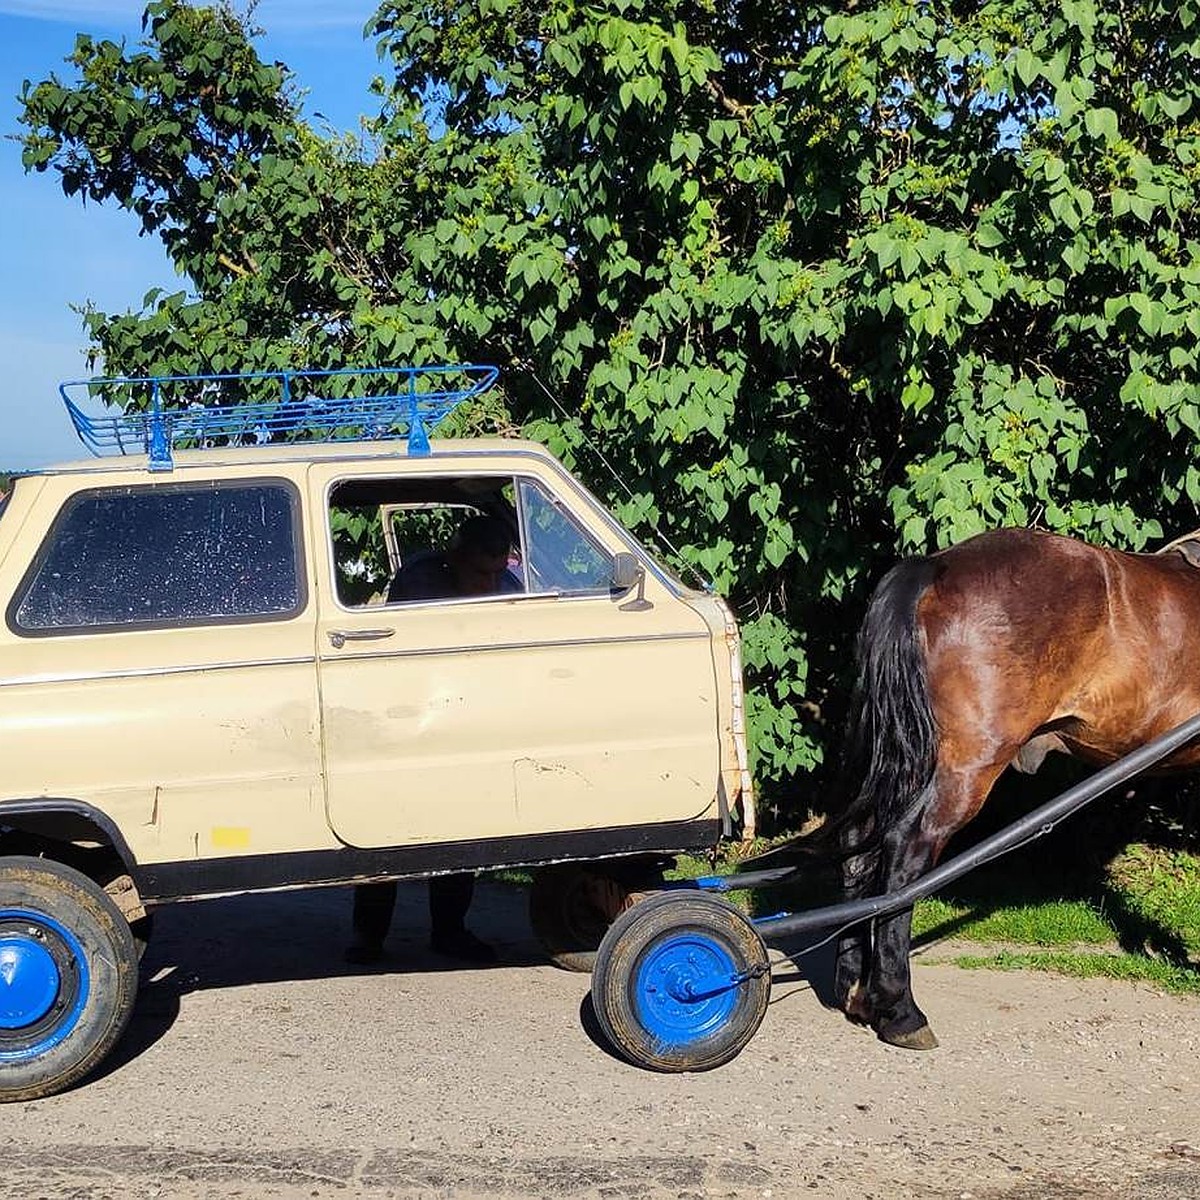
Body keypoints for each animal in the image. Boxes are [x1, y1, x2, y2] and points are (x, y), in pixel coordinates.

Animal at [830, 528, 1200, 1051]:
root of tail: (935, 567)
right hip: (968, 767)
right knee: (906, 855)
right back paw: (900, 1010)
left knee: (857, 845)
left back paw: (853, 991)